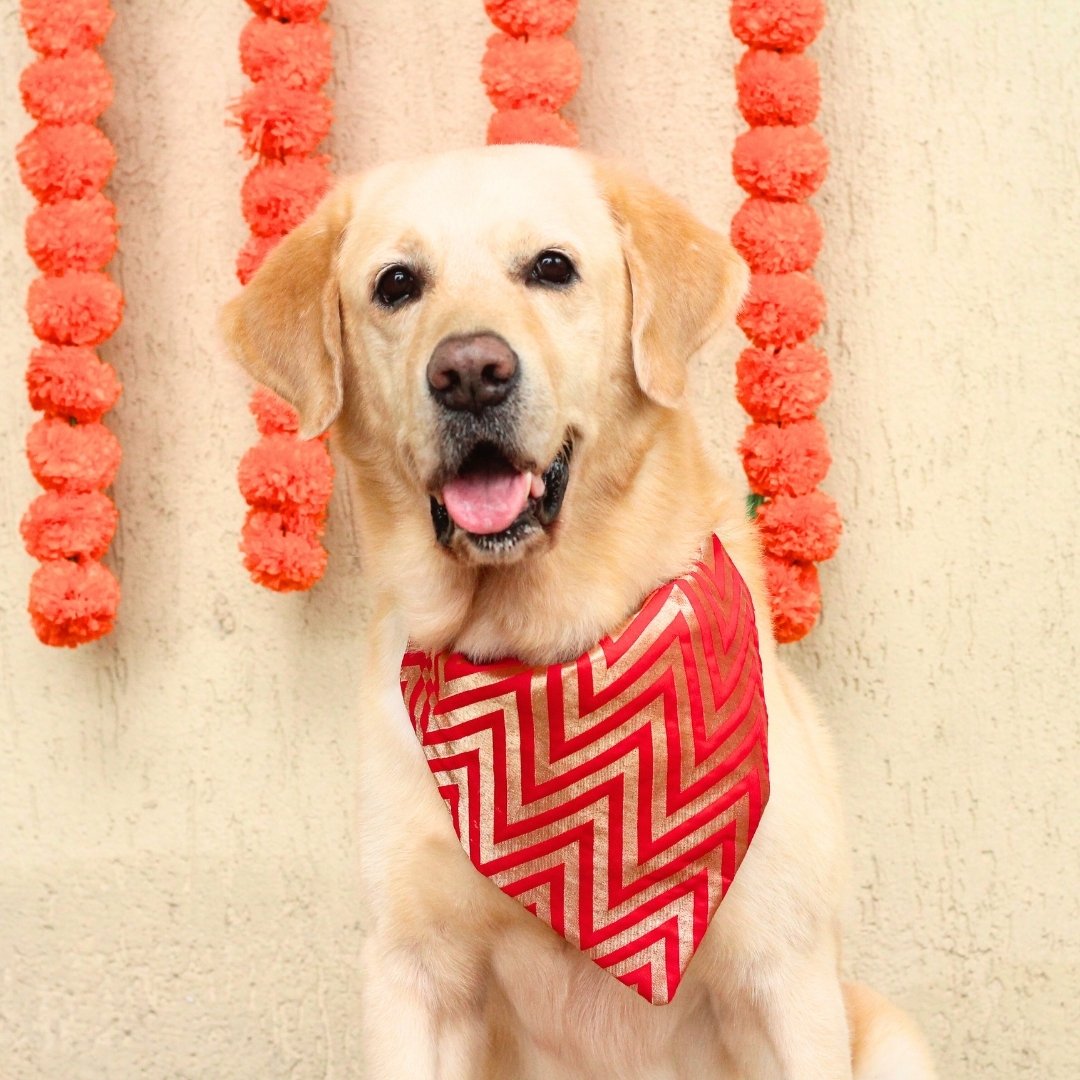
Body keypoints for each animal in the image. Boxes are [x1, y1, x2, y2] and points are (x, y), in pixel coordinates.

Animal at [221, 145, 937, 1080]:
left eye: (551, 267)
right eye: (397, 283)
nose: (469, 373)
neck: (544, 648)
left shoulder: (780, 972)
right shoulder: (414, 976)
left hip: (888, 1030)